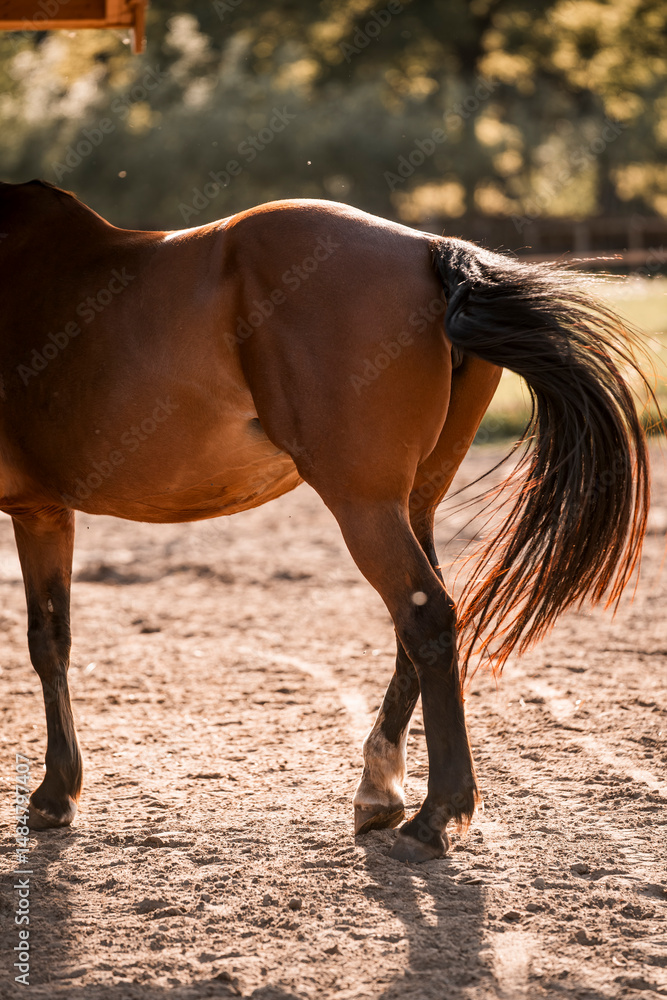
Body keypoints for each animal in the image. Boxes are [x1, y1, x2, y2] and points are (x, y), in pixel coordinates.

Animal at [0, 179, 652, 862]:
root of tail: (429, 249)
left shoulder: (33, 512)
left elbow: (42, 645)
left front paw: (52, 794)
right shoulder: (45, 511)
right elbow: (53, 638)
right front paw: (58, 790)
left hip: (363, 506)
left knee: (425, 618)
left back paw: (434, 816)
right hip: (412, 501)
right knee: (423, 621)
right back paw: (381, 787)